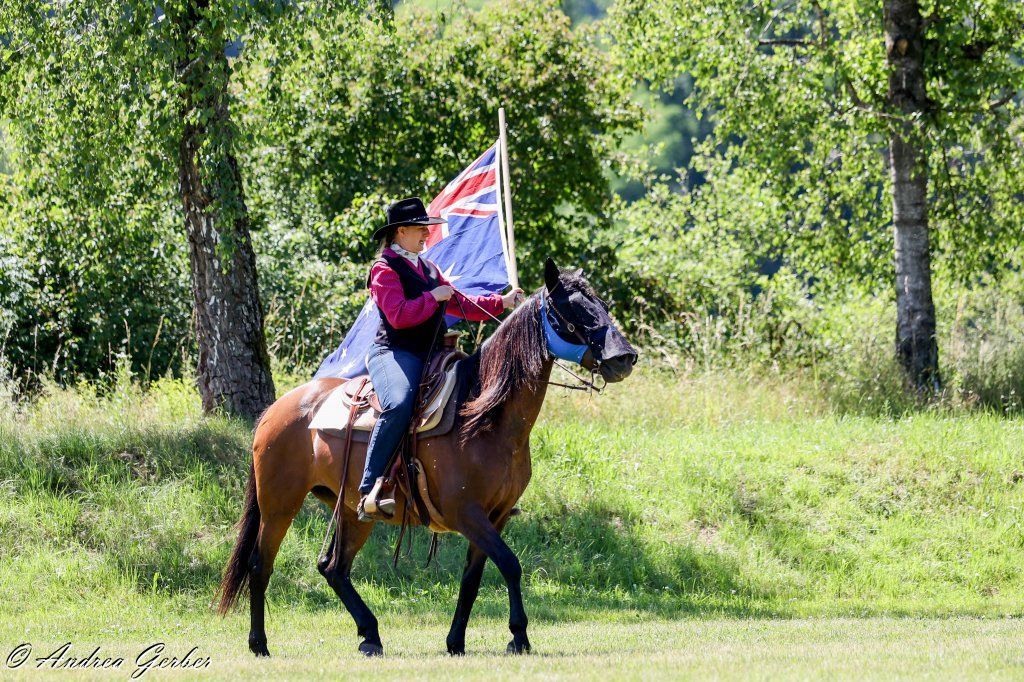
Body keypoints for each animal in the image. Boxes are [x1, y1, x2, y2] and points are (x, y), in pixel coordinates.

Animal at [216, 257, 638, 657]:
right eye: (572, 309)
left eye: (601, 303)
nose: (625, 357)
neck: (482, 414)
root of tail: (275, 411)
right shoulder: (466, 513)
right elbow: (510, 564)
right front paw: (518, 636)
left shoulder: (495, 516)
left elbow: (473, 578)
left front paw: (456, 641)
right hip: (279, 504)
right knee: (260, 565)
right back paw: (259, 643)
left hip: (352, 511)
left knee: (334, 568)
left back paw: (370, 635)